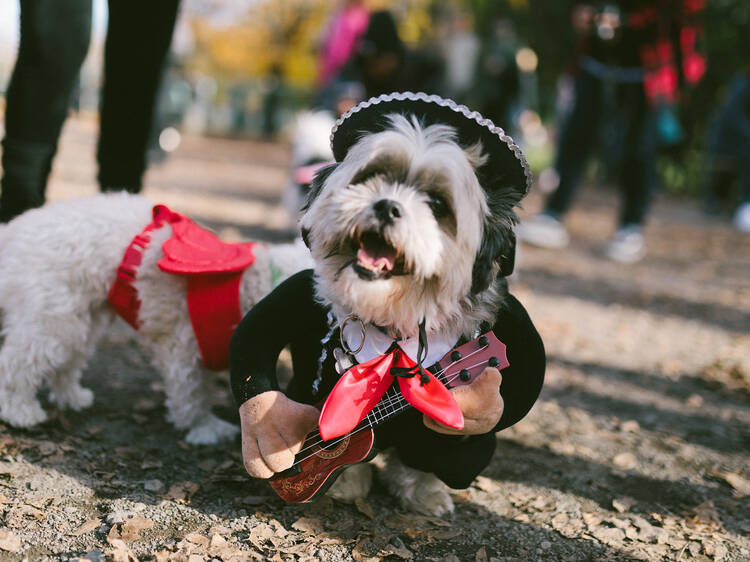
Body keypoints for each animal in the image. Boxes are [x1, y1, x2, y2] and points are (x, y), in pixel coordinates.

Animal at [0, 192, 312, 442]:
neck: (256, 284)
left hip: (80, 319)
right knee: (16, 364)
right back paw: (20, 411)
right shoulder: (183, 350)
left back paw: (72, 396)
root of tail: (10, 231)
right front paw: (205, 429)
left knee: (69, 359)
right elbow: (192, 395)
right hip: (52, 320)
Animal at [231, 92, 548, 516]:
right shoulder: (299, 293)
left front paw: (475, 402)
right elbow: (254, 336)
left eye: (437, 203)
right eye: (371, 176)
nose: (386, 206)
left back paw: (421, 485)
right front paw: (276, 433)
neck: (395, 312)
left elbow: (527, 373)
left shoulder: (508, 322)